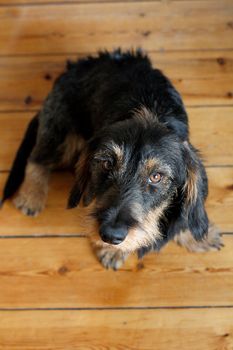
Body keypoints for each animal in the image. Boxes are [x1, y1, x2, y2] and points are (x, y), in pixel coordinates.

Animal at [0, 49, 223, 270]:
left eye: (156, 176)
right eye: (107, 164)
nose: (110, 236)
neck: (150, 112)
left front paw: (197, 235)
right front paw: (113, 251)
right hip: (62, 135)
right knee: (37, 158)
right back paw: (32, 195)